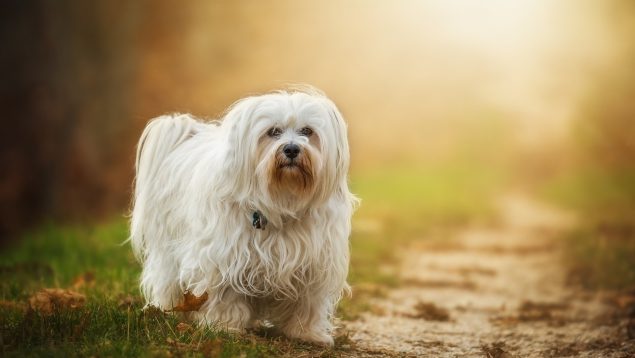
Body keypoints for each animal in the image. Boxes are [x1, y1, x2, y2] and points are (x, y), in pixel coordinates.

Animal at [129, 86, 358, 344]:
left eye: (307, 131)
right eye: (273, 132)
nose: (291, 149)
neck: (282, 199)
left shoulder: (314, 264)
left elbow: (307, 303)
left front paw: (307, 333)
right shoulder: (224, 257)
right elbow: (225, 295)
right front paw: (224, 327)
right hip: (168, 249)